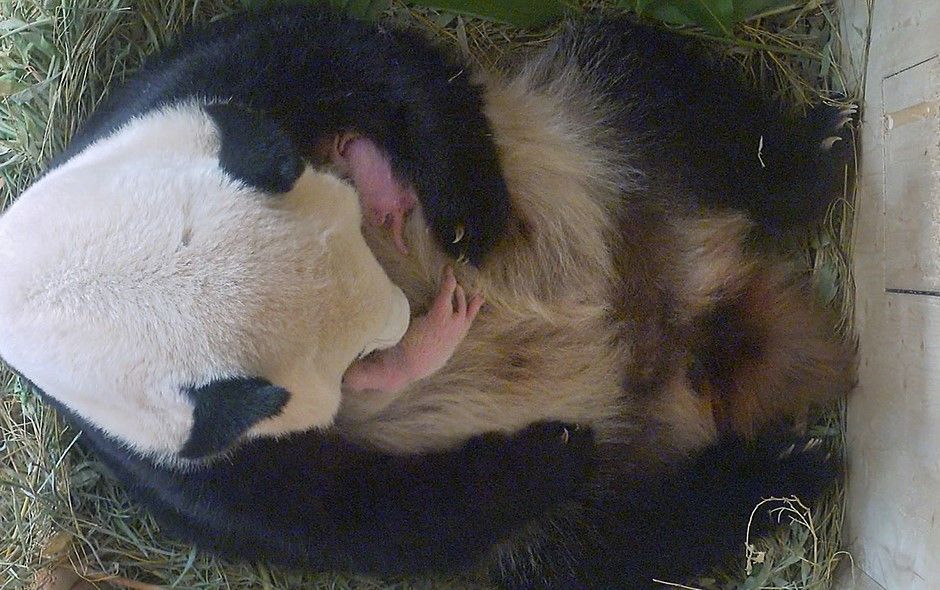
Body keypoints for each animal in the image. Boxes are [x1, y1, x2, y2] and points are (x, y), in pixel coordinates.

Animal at [0, 6, 855, 590]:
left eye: (350, 220)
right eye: (353, 361)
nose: (424, 316)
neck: (39, 290)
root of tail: (685, 333)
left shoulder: (167, 109)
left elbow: (338, 53)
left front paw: (460, 208)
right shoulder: (187, 466)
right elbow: (362, 517)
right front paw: (552, 449)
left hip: (590, 132)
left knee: (658, 85)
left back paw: (812, 151)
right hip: (583, 510)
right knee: (624, 545)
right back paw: (778, 475)